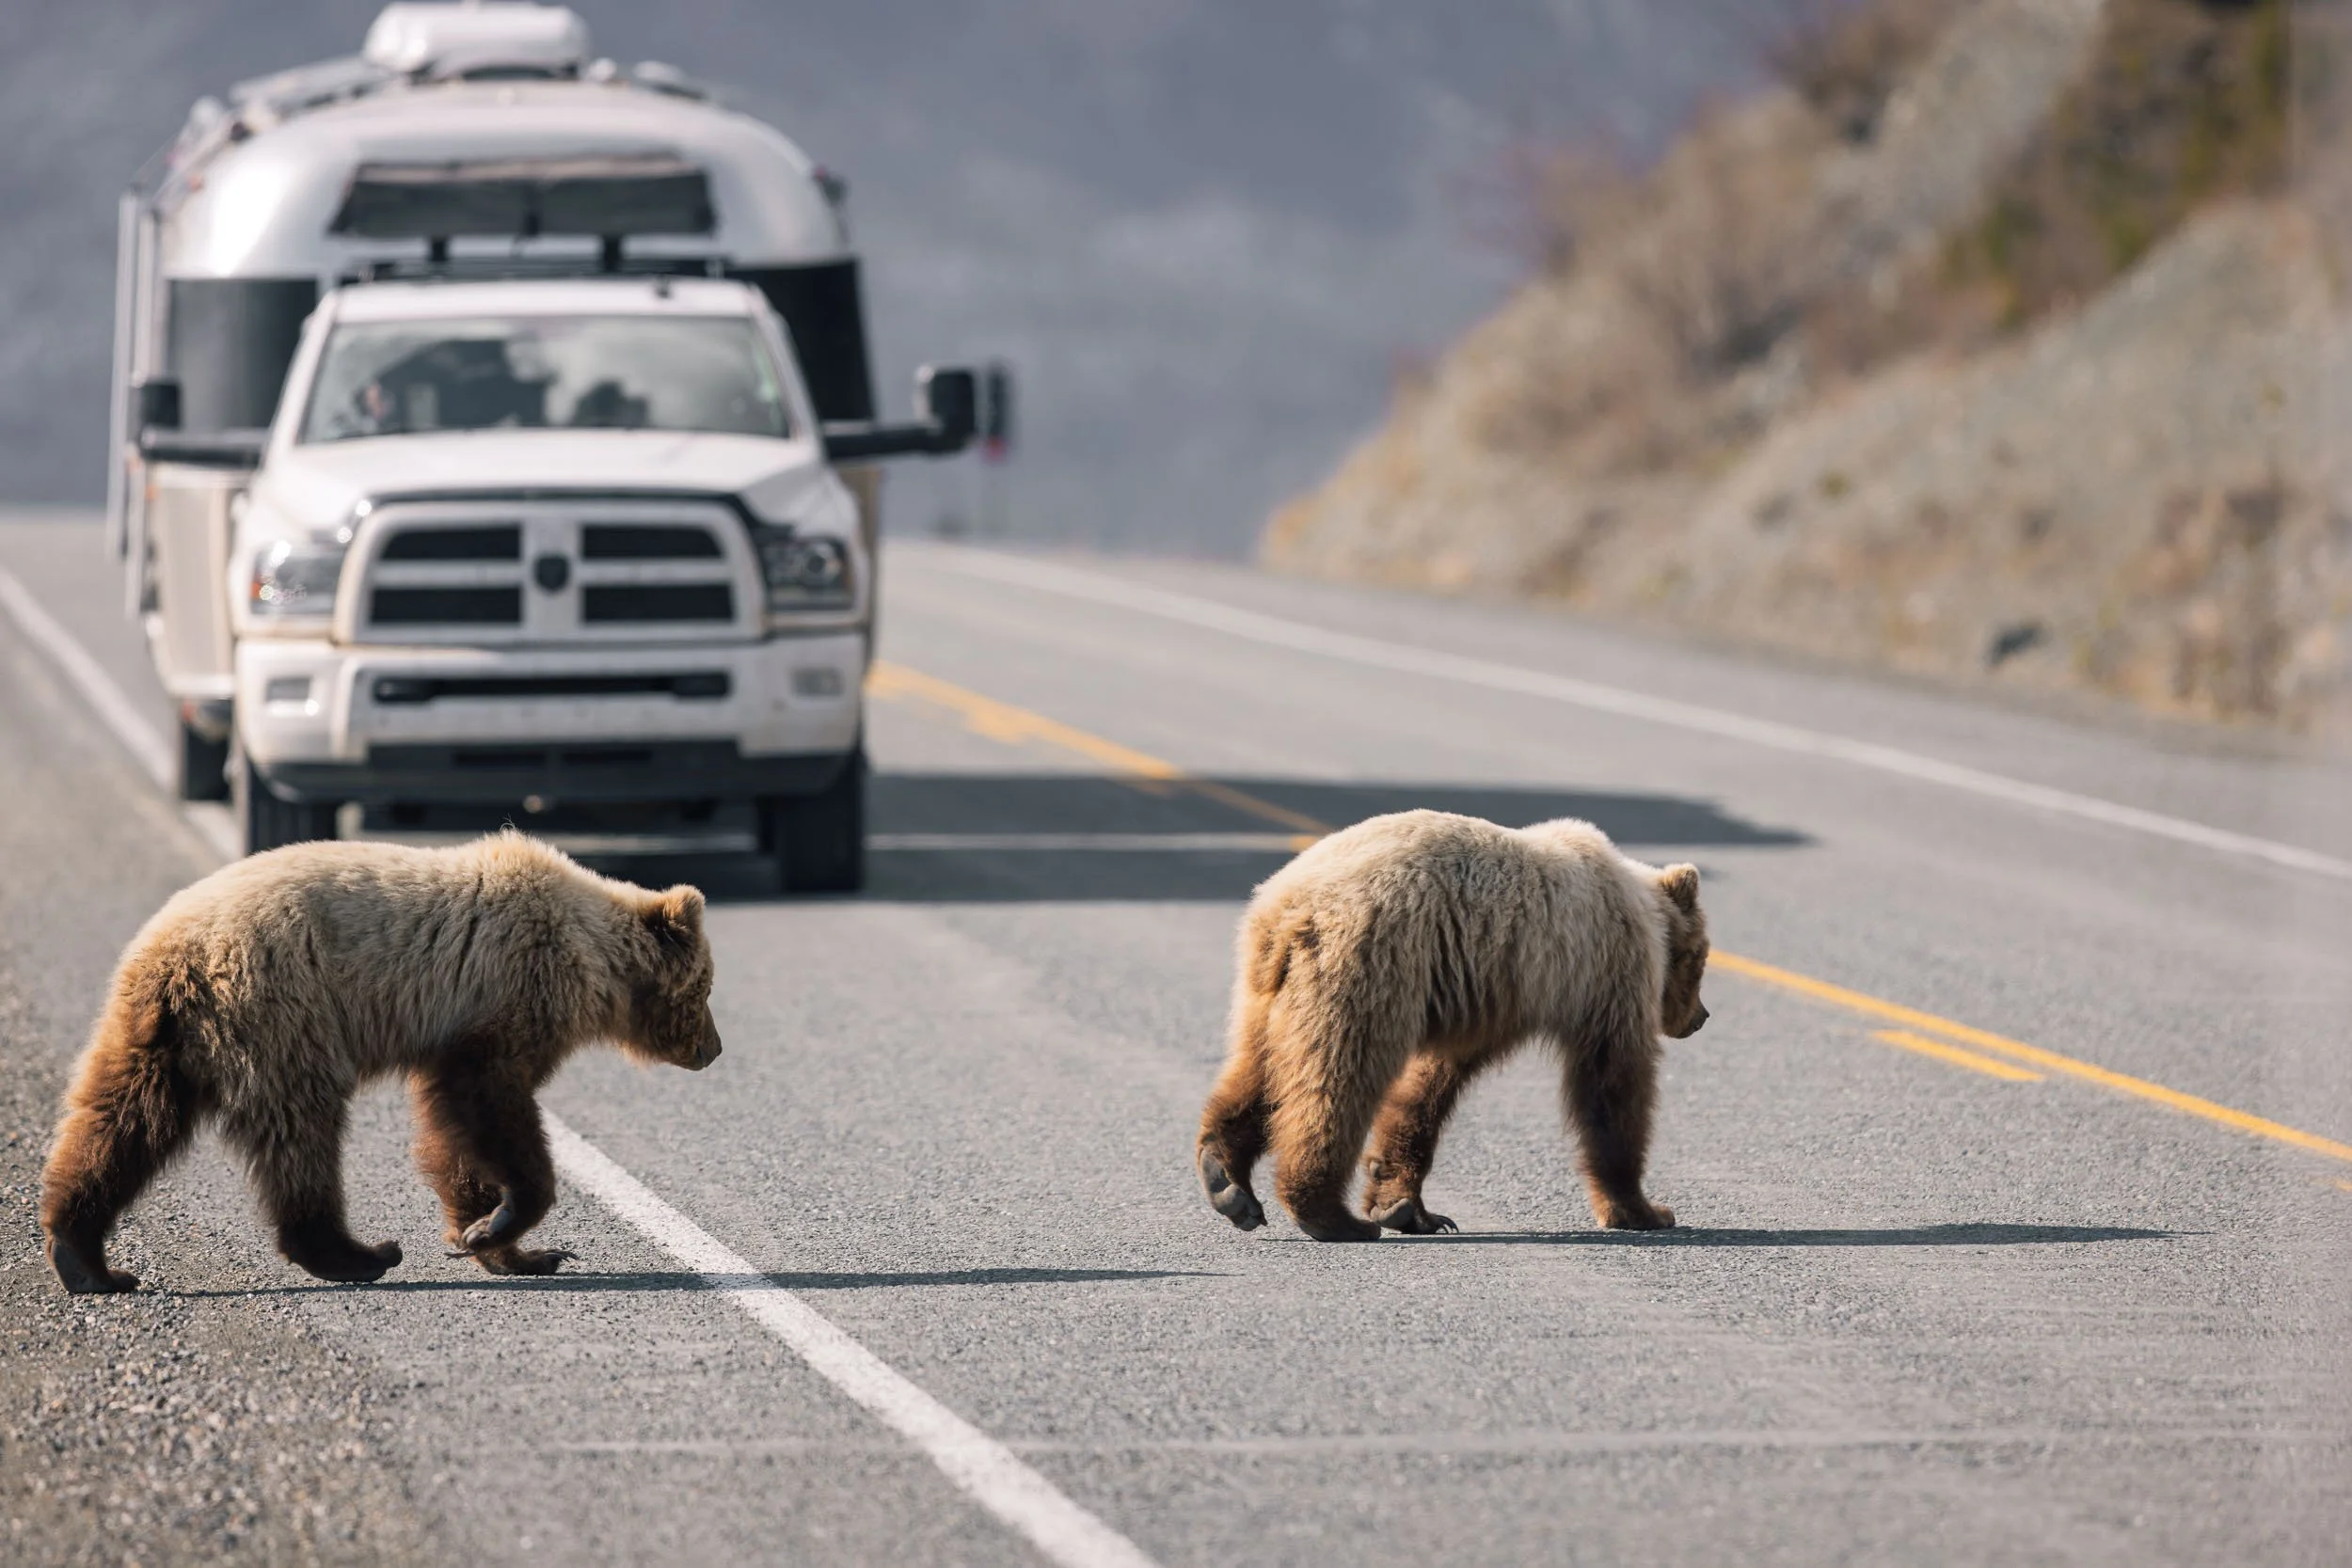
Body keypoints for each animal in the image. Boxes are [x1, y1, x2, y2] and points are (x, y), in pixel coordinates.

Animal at [40, 831, 721, 1293]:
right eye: (708, 989)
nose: (714, 1048)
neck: (593, 960)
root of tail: (173, 952)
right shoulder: (508, 993)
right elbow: (492, 1105)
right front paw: (506, 1223)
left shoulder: (453, 1031)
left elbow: (452, 1131)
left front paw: (502, 1242)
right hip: (281, 1012)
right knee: (301, 1136)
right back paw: (360, 1252)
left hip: (159, 1037)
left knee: (122, 1121)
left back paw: (86, 1257)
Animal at [1195, 810, 1709, 1242]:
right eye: (1702, 957)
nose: (1701, 1018)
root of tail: (1287, 906)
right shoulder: (1605, 976)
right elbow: (1612, 1085)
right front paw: (1645, 1209)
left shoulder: (1476, 991)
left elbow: (1425, 1088)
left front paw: (1409, 1208)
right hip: (1367, 965)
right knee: (1337, 1080)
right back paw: (1330, 1215)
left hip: (1270, 992)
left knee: (1262, 1070)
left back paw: (1226, 1178)